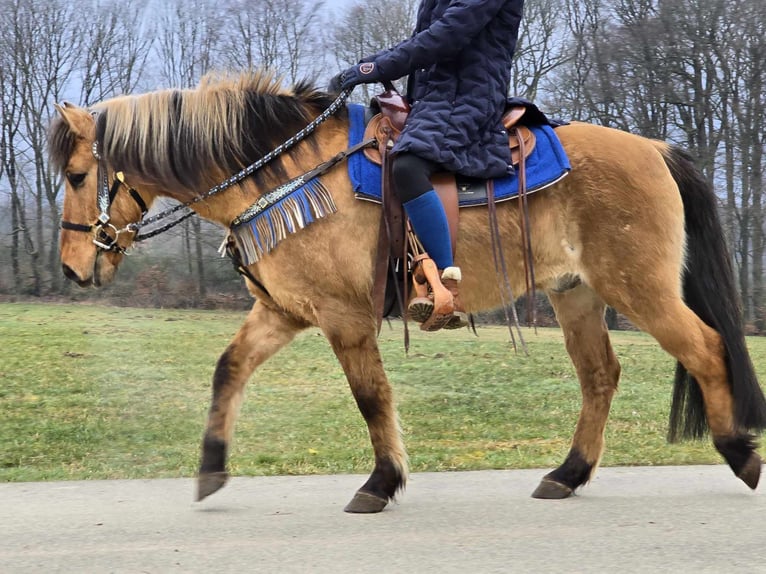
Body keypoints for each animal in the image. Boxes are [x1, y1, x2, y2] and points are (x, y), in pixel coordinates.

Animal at [48, 70, 766, 516]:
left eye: (80, 174)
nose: (74, 267)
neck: (287, 172)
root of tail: (655, 148)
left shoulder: (343, 317)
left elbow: (371, 397)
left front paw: (382, 481)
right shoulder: (283, 311)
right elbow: (230, 370)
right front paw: (211, 467)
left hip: (640, 289)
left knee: (706, 350)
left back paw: (739, 453)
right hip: (577, 294)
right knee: (599, 376)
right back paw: (567, 473)